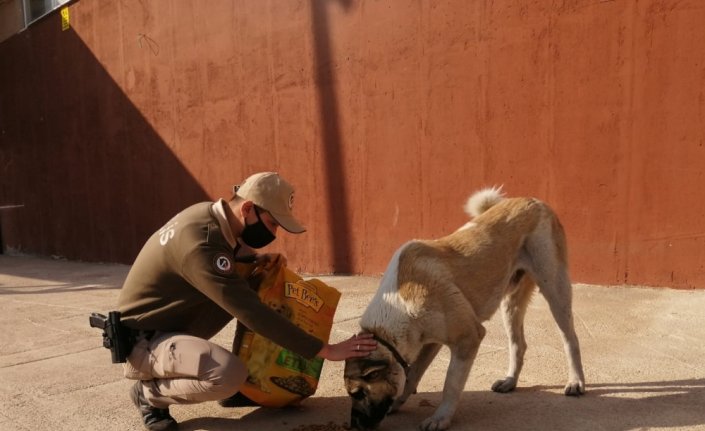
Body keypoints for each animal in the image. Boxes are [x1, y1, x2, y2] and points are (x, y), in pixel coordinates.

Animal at [346, 189, 584, 431]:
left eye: (358, 393)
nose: (353, 425)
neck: (398, 307)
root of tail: (534, 200)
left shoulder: (468, 337)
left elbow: (450, 384)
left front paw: (441, 417)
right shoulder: (429, 342)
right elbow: (412, 374)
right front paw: (399, 402)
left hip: (554, 288)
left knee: (570, 338)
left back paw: (576, 382)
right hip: (510, 303)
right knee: (519, 344)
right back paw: (510, 381)